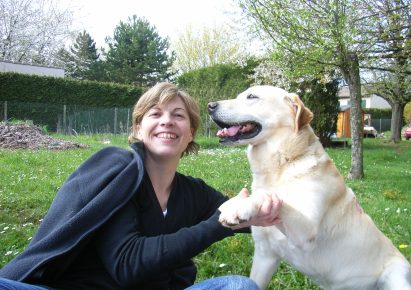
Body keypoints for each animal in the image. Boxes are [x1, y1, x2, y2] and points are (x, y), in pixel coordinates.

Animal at [209, 85, 411, 290]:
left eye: (251, 96)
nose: (210, 105)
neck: (282, 165)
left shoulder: (306, 233)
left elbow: (273, 198)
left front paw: (239, 206)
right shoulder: (265, 255)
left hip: (397, 276)